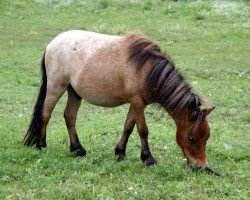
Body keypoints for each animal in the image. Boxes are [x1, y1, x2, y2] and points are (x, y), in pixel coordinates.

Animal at [23, 30, 215, 169]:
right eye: (191, 138)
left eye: (207, 137)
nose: (201, 167)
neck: (147, 70)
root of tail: (52, 44)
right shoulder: (137, 102)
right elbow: (143, 130)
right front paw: (148, 158)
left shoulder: (136, 104)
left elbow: (128, 127)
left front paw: (120, 153)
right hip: (56, 87)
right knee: (46, 113)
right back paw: (41, 145)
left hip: (74, 92)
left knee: (69, 116)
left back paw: (77, 149)